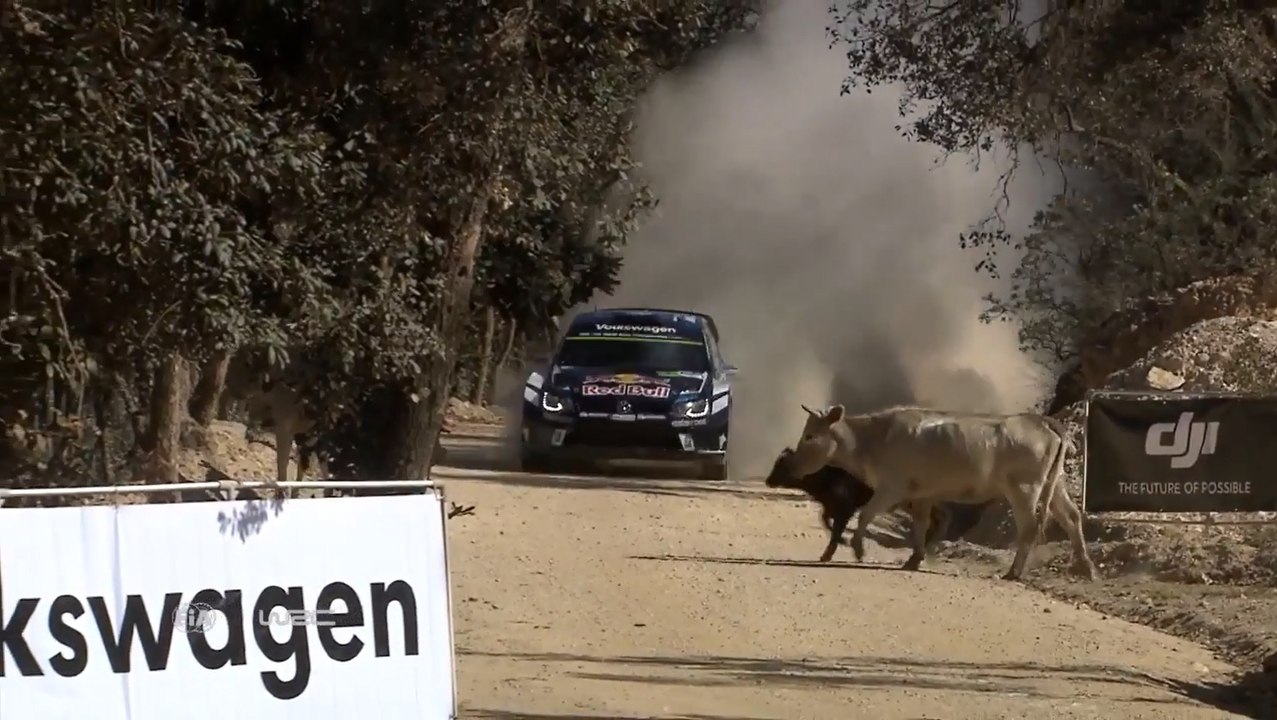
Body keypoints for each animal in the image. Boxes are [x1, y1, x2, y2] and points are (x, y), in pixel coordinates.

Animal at [780, 404, 1098, 581]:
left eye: (810, 436)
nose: (791, 465)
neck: (874, 439)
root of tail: (1042, 420)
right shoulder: (922, 493)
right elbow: (920, 524)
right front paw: (914, 559)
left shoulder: (891, 487)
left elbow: (866, 514)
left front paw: (858, 548)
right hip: (1055, 484)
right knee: (1071, 517)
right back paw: (1086, 567)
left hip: (1024, 488)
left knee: (1030, 526)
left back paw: (1014, 572)